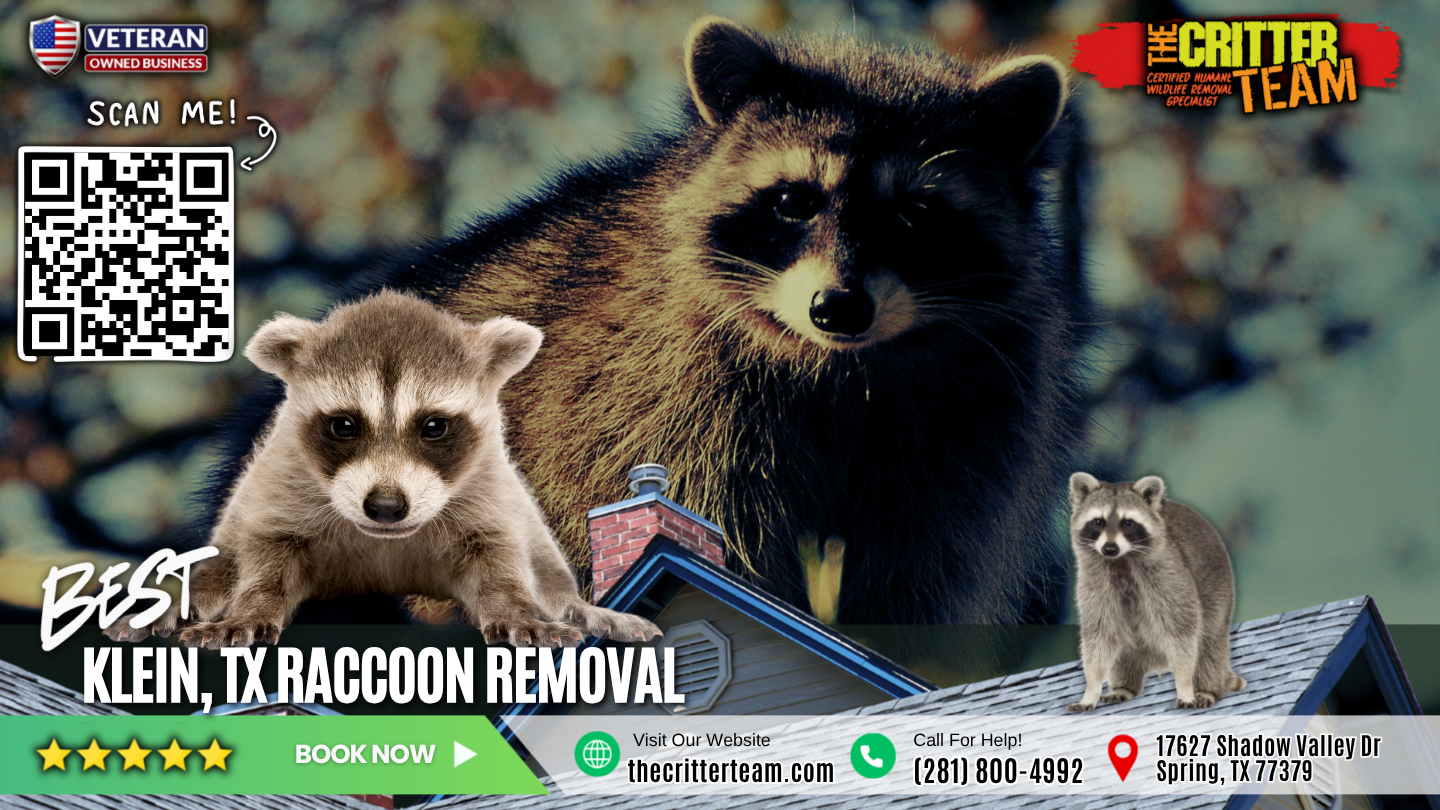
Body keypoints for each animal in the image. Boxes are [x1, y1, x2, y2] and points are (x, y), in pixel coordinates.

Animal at [107, 291, 660, 648]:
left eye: (434, 425)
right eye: (344, 425)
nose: (387, 506)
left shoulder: (487, 490)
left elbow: (497, 560)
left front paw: (517, 609)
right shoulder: (283, 482)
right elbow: (268, 560)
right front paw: (253, 608)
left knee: (545, 564)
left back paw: (578, 606)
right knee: (219, 564)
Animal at [214, 18, 1093, 624]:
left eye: (915, 215)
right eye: (791, 201)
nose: (838, 306)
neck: (844, 366)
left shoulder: (963, 446)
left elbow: (914, 582)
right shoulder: (661, 402)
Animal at [1066, 474, 1245, 711]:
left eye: (1128, 522)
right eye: (1098, 521)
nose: (1109, 549)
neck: (1121, 560)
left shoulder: (1168, 574)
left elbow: (1182, 632)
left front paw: (1185, 685)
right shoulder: (1094, 582)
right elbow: (1099, 636)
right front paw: (1091, 689)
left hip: (1219, 588)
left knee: (1210, 644)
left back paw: (1208, 688)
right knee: (1124, 651)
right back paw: (1124, 687)